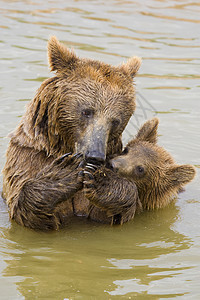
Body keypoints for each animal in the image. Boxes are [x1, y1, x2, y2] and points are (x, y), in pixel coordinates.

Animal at [2, 36, 141, 231]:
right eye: (87, 111)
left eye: (115, 121)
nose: (95, 156)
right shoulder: (28, 158)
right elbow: (24, 208)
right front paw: (64, 172)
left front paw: (103, 182)